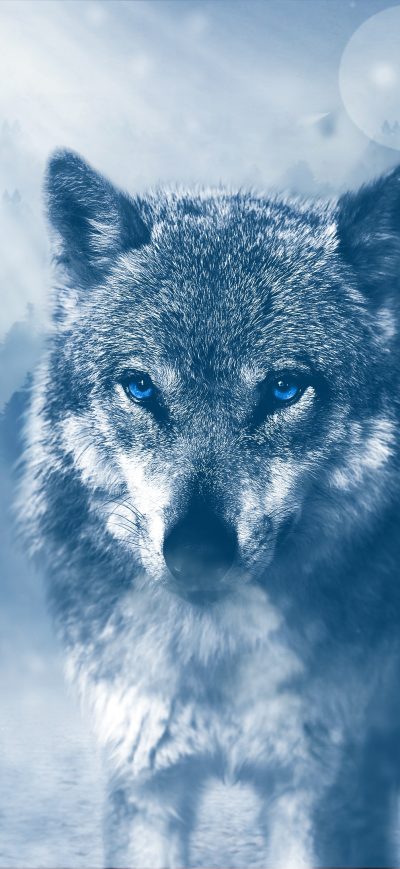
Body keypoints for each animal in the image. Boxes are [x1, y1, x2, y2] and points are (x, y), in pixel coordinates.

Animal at [18, 150, 400, 868]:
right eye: (141, 387)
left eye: (285, 388)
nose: (197, 552)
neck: (215, 658)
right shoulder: (145, 779)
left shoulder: (322, 790)